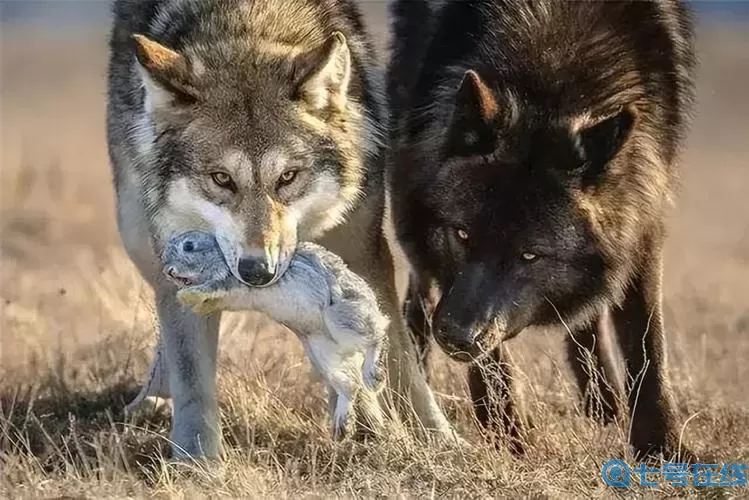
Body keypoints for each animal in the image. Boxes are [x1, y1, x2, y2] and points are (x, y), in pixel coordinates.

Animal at [107, 0, 452, 458]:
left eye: (287, 177)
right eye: (221, 179)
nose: (258, 272)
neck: (248, 22)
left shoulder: (364, 250)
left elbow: (399, 355)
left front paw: (442, 441)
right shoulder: (175, 253)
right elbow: (192, 378)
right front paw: (198, 462)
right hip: (135, 231)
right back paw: (152, 399)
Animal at [386, 0, 696, 460]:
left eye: (530, 255)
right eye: (461, 235)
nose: (457, 337)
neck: (551, 67)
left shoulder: (643, 220)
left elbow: (646, 341)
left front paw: (662, 447)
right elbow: (491, 357)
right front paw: (507, 433)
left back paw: (603, 406)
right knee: (420, 295)